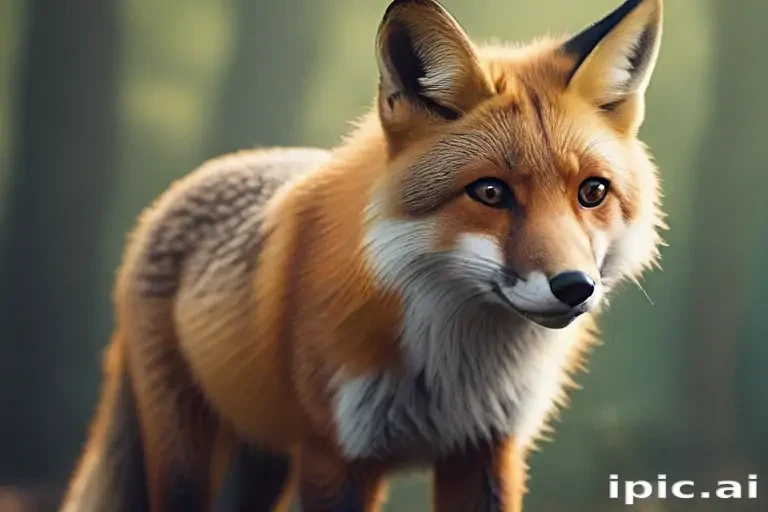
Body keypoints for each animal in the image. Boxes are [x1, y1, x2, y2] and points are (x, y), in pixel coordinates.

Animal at [60, 0, 665, 510]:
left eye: (592, 192)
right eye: (490, 192)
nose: (574, 286)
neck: (455, 376)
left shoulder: (486, 448)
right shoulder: (338, 455)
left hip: (262, 461)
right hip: (188, 457)